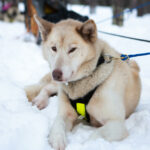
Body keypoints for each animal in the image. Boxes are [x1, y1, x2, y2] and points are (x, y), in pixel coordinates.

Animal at [24, 14, 141, 149]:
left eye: (72, 49)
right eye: (54, 48)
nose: (56, 74)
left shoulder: (117, 124)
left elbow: (94, 136)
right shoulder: (65, 114)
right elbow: (58, 124)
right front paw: (57, 139)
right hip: (57, 87)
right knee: (46, 87)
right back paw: (40, 100)